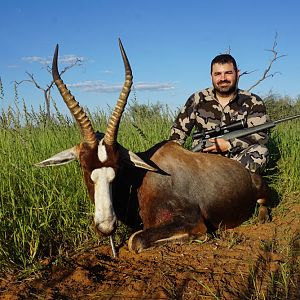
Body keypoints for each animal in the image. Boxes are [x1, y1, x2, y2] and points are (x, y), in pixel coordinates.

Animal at [36, 40, 268, 253]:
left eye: (118, 167)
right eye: (84, 166)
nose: (106, 227)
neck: (142, 177)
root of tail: (248, 173)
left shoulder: (193, 220)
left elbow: (135, 240)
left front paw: (199, 238)